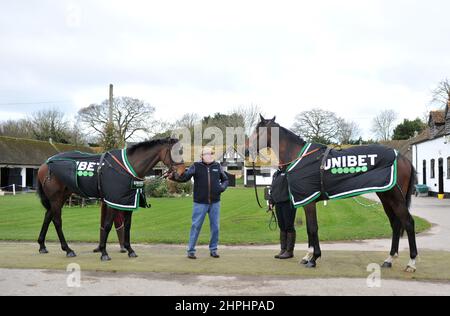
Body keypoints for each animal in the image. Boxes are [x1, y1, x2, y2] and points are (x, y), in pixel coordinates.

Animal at [36, 138, 185, 262]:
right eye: (176, 152)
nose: (182, 173)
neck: (127, 167)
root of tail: (45, 164)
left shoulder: (128, 202)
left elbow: (127, 226)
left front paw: (130, 250)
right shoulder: (113, 201)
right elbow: (107, 225)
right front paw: (104, 252)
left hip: (63, 196)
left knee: (47, 216)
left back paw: (42, 245)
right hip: (56, 198)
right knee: (57, 221)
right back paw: (67, 249)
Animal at [246, 115, 418, 272]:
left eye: (258, 131)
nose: (247, 150)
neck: (299, 157)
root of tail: (403, 158)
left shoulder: (308, 201)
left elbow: (312, 228)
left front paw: (314, 258)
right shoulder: (306, 200)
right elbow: (309, 228)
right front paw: (308, 256)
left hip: (396, 198)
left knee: (408, 222)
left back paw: (411, 263)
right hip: (385, 197)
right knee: (395, 224)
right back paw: (389, 259)